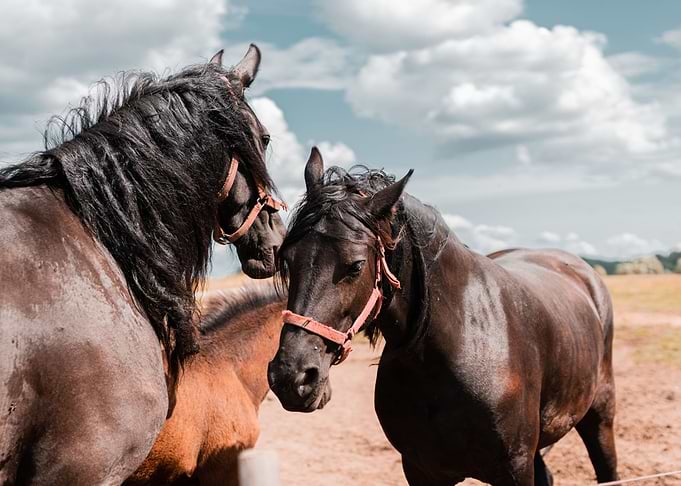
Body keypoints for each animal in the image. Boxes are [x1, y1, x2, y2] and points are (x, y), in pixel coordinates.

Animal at [268, 148, 619, 485]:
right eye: (287, 259)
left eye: (355, 266)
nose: (291, 377)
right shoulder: (421, 471)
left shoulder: (515, 469)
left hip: (599, 415)